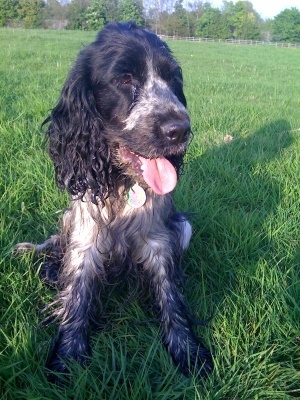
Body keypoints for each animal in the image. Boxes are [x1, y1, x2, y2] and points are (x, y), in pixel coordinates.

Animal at [15, 21, 213, 378]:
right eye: (124, 80)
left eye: (173, 79)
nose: (180, 129)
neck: (123, 181)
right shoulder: (86, 235)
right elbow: (77, 293)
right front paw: (68, 357)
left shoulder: (158, 239)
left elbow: (170, 295)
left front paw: (188, 351)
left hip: (183, 226)